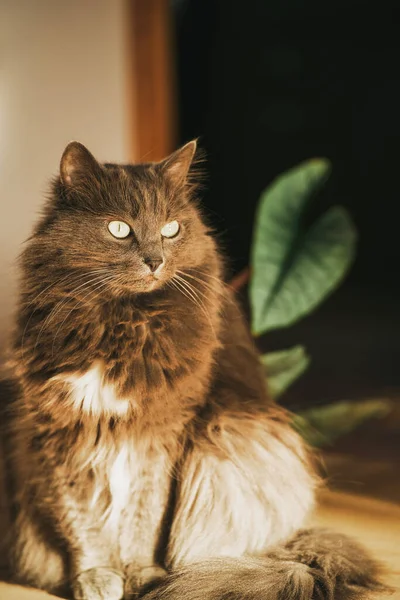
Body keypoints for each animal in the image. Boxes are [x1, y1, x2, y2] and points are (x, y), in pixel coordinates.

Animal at [2, 141, 384, 600]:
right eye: (119, 229)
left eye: (171, 229)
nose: (154, 261)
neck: (123, 322)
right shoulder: (60, 435)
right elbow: (83, 524)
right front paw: (95, 578)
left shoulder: (159, 436)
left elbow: (143, 518)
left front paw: (142, 574)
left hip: (231, 444)